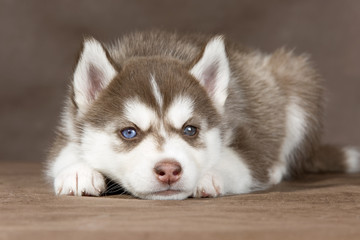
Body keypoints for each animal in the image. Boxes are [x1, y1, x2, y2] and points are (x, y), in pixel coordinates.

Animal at [45, 31, 360, 200]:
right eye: (129, 132)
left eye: (190, 130)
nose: (169, 170)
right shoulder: (68, 126)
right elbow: (64, 153)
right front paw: (78, 171)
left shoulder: (245, 139)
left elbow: (237, 161)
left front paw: (208, 176)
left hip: (296, 76)